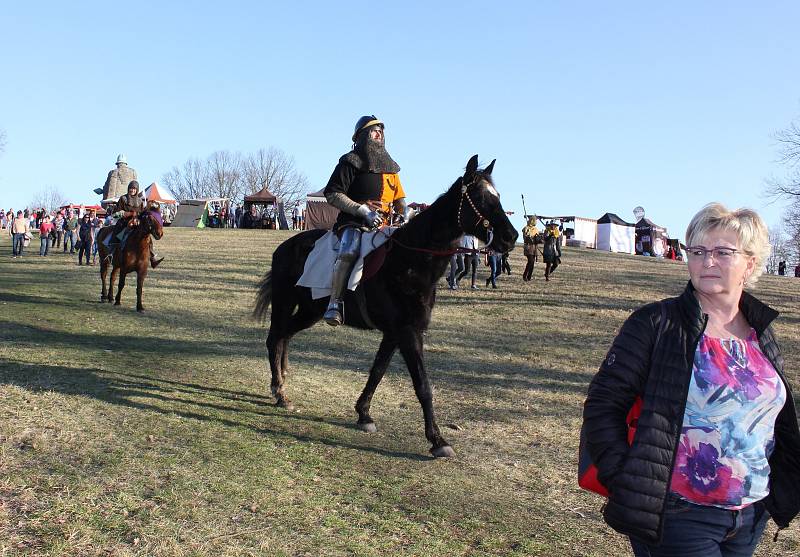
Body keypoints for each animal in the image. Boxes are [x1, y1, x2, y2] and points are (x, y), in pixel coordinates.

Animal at [253, 156, 520, 456]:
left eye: (497, 197)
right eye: (481, 198)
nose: (510, 237)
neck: (410, 260)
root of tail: (284, 247)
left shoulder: (394, 333)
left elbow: (377, 371)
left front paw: (364, 414)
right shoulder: (407, 333)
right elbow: (422, 385)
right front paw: (437, 440)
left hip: (310, 312)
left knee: (284, 336)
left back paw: (282, 384)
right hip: (285, 303)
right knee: (275, 337)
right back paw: (278, 390)